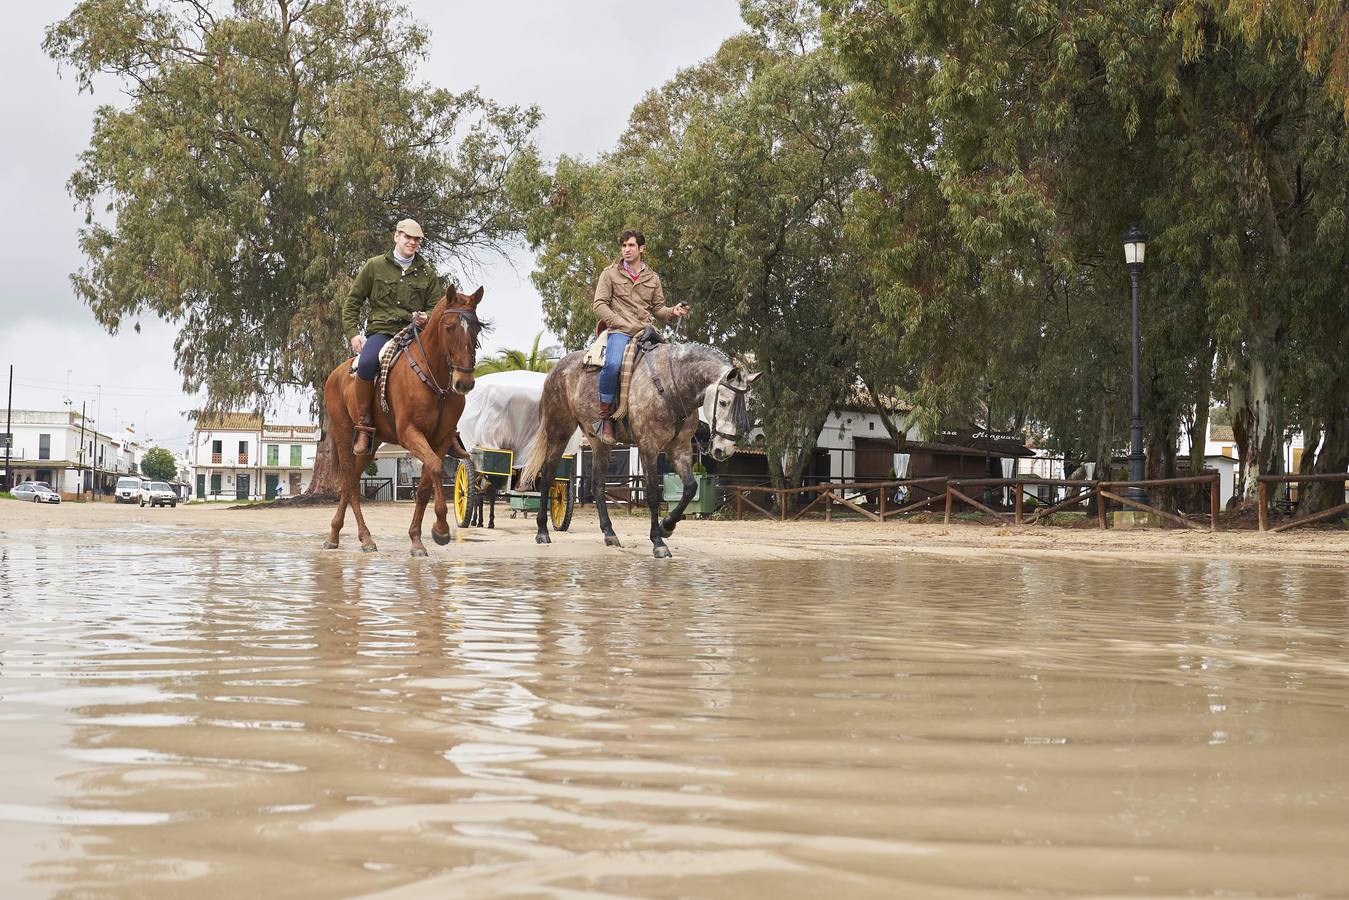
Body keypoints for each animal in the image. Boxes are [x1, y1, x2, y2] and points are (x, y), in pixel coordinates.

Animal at [321, 287, 485, 555]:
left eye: (477, 328)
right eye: (449, 327)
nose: (464, 382)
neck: (433, 377)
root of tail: (335, 374)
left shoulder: (440, 440)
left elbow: (426, 485)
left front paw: (417, 538)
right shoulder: (410, 433)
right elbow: (436, 468)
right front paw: (441, 529)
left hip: (371, 445)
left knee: (351, 481)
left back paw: (338, 534)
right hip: (344, 434)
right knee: (349, 482)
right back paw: (363, 538)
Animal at [520, 342, 760, 555]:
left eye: (746, 405)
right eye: (724, 402)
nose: (723, 450)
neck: (672, 387)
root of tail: (557, 369)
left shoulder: (680, 448)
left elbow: (691, 488)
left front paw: (667, 526)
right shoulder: (648, 447)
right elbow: (653, 494)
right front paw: (658, 542)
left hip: (599, 443)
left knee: (597, 485)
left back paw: (609, 533)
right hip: (559, 432)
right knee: (548, 475)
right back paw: (542, 531)